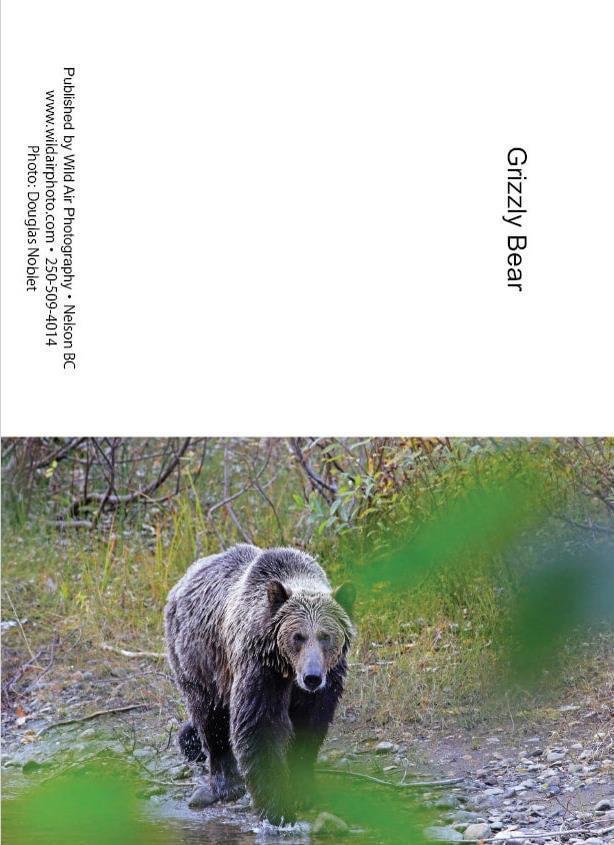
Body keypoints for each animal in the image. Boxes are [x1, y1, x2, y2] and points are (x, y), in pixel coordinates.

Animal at [164, 543, 355, 824]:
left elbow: (309, 727)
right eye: (297, 636)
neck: (288, 670)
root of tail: (182, 580)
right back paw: (226, 783)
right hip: (198, 659)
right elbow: (259, 725)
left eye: (325, 636)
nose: (312, 677)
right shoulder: (260, 670)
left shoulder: (325, 686)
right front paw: (278, 807)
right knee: (210, 719)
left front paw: (302, 791)